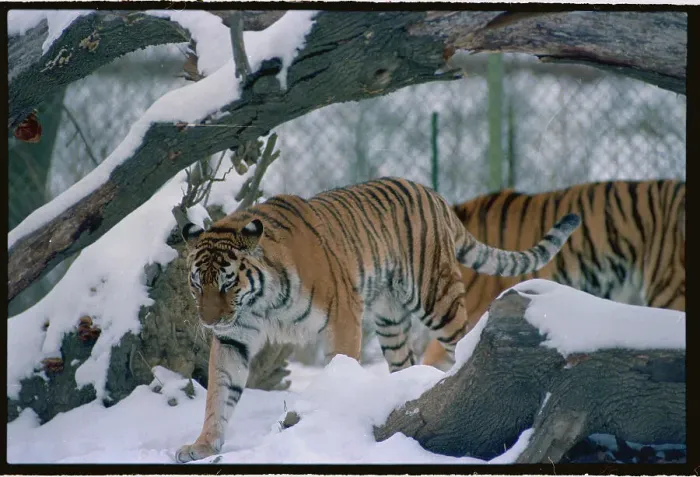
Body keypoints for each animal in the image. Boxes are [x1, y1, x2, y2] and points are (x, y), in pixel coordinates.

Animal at [175, 177, 581, 463]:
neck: (261, 302)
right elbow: (219, 393)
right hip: (391, 322)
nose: (209, 322)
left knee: (460, 342)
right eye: (197, 284)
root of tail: (432, 193)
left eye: (228, 283)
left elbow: (341, 365)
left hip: (437, 297)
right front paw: (203, 446)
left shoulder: (342, 316)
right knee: (405, 362)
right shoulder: (234, 338)